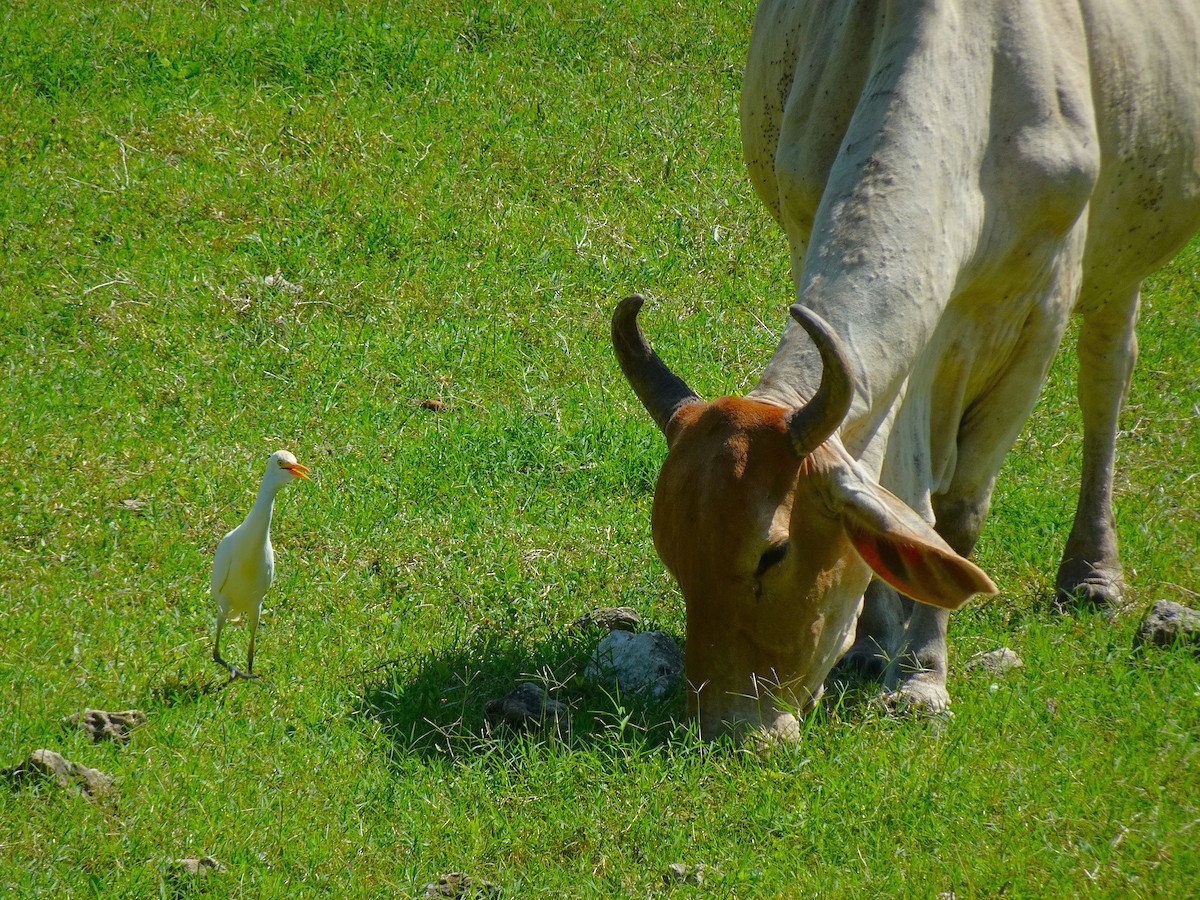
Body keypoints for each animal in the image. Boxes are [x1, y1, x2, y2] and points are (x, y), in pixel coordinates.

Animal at [614, 0, 1195, 744]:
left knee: (1107, 374)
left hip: (1122, 258)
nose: (725, 727)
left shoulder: (1042, 307)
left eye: (773, 553)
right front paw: (871, 646)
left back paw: (1093, 572)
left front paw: (922, 678)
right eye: (670, 549)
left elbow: (957, 514)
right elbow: (894, 488)